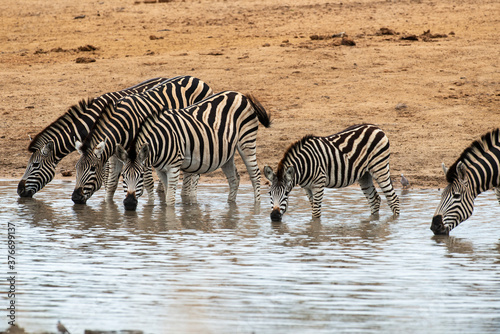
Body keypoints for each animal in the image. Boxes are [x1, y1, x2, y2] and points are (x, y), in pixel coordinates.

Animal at [72, 76, 213, 205]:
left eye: (92, 169)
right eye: (76, 168)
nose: (75, 198)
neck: (124, 126)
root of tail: (197, 79)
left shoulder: (145, 151)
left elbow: (148, 182)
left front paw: (150, 206)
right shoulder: (115, 155)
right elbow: (111, 184)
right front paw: (108, 206)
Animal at [115, 90, 272, 211]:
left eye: (141, 175)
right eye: (123, 175)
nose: (129, 204)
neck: (160, 142)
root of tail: (241, 95)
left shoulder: (174, 167)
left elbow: (170, 199)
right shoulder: (160, 170)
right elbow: (166, 196)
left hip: (247, 142)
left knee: (255, 175)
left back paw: (256, 207)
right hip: (227, 152)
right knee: (234, 179)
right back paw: (230, 206)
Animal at [264, 124, 400, 220]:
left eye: (286, 193)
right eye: (269, 193)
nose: (274, 217)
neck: (303, 167)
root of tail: (377, 128)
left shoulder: (319, 183)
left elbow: (316, 213)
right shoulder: (307, 188)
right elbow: (313, 208)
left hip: (380, 167)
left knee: (393, 199)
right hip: (364, 175)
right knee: (374, 200)